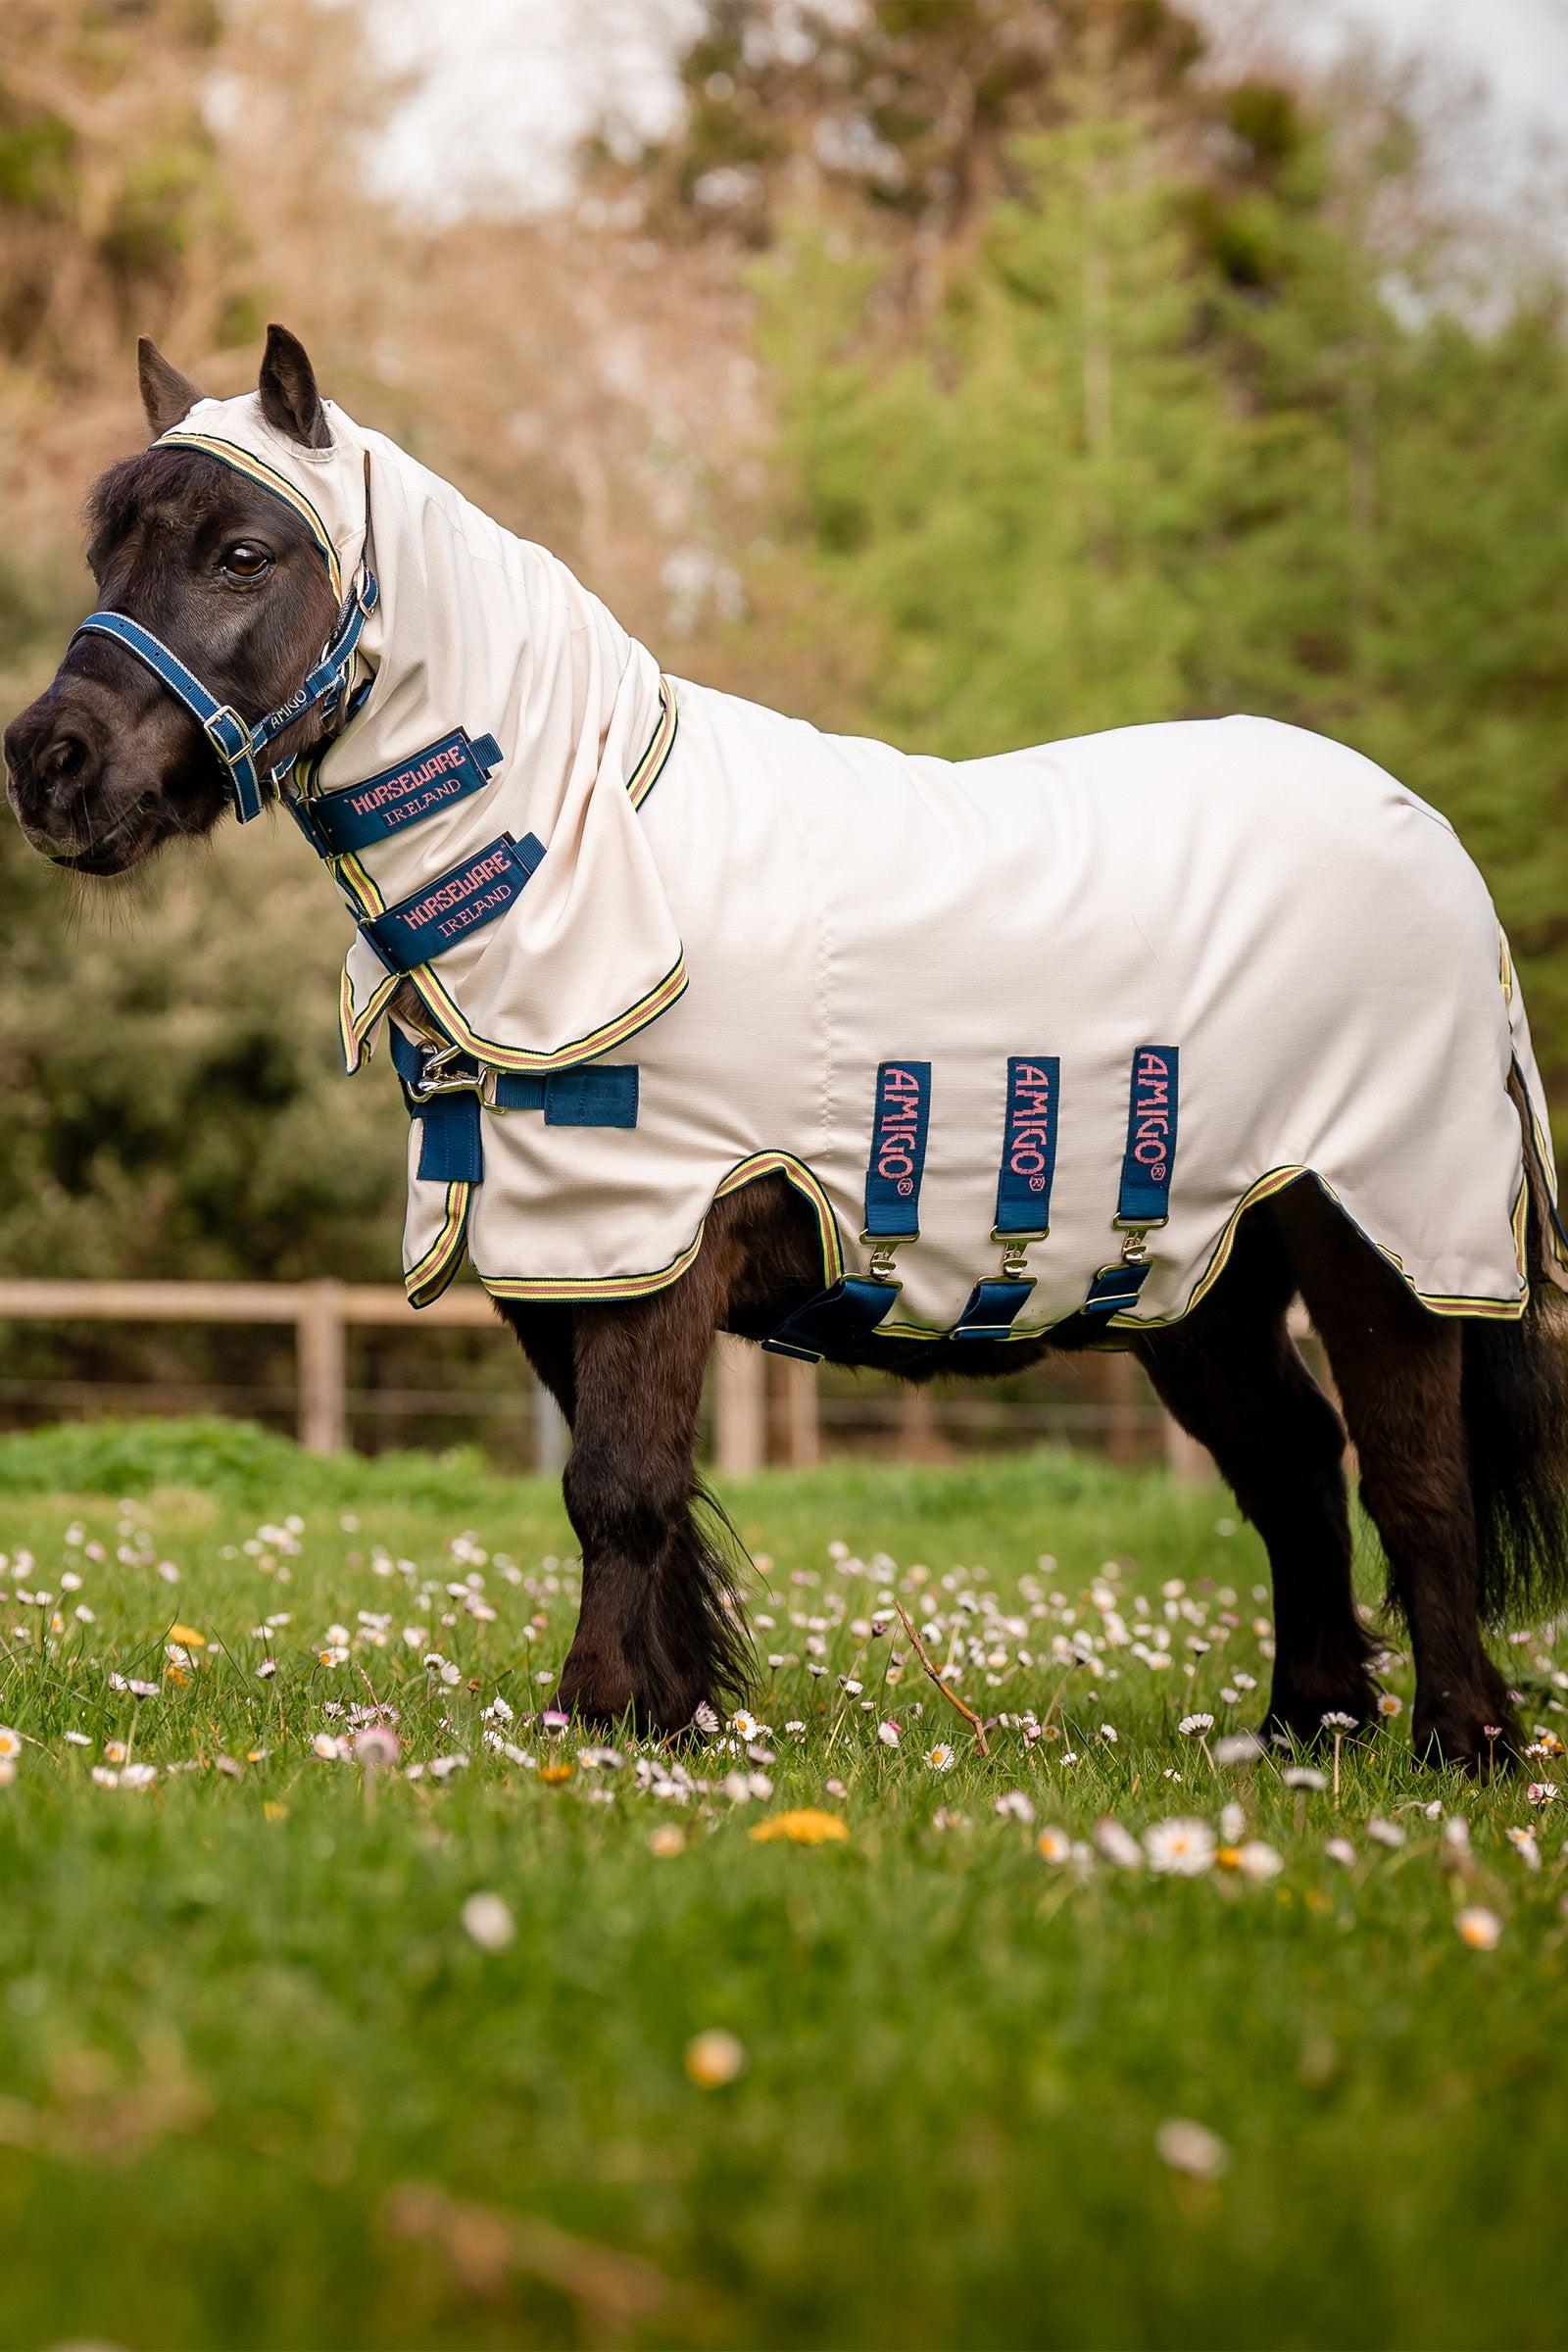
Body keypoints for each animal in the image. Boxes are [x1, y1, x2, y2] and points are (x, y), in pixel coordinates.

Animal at [6, 324, 1568, 1769]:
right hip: (1203, 1278)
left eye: (243, 552)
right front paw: (667, 1716)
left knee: (1413, 1481)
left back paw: (1462, 1742)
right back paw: (1311, 1725)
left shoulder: (653, 1249)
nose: (49, 765)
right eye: (106, 549)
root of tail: (1428, 842)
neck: (595, 859)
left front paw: (595, 1719)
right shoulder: (564, 1257)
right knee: (1294, 1468)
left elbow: (620, 1489)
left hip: (1375, 1232)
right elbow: (630, 1493)